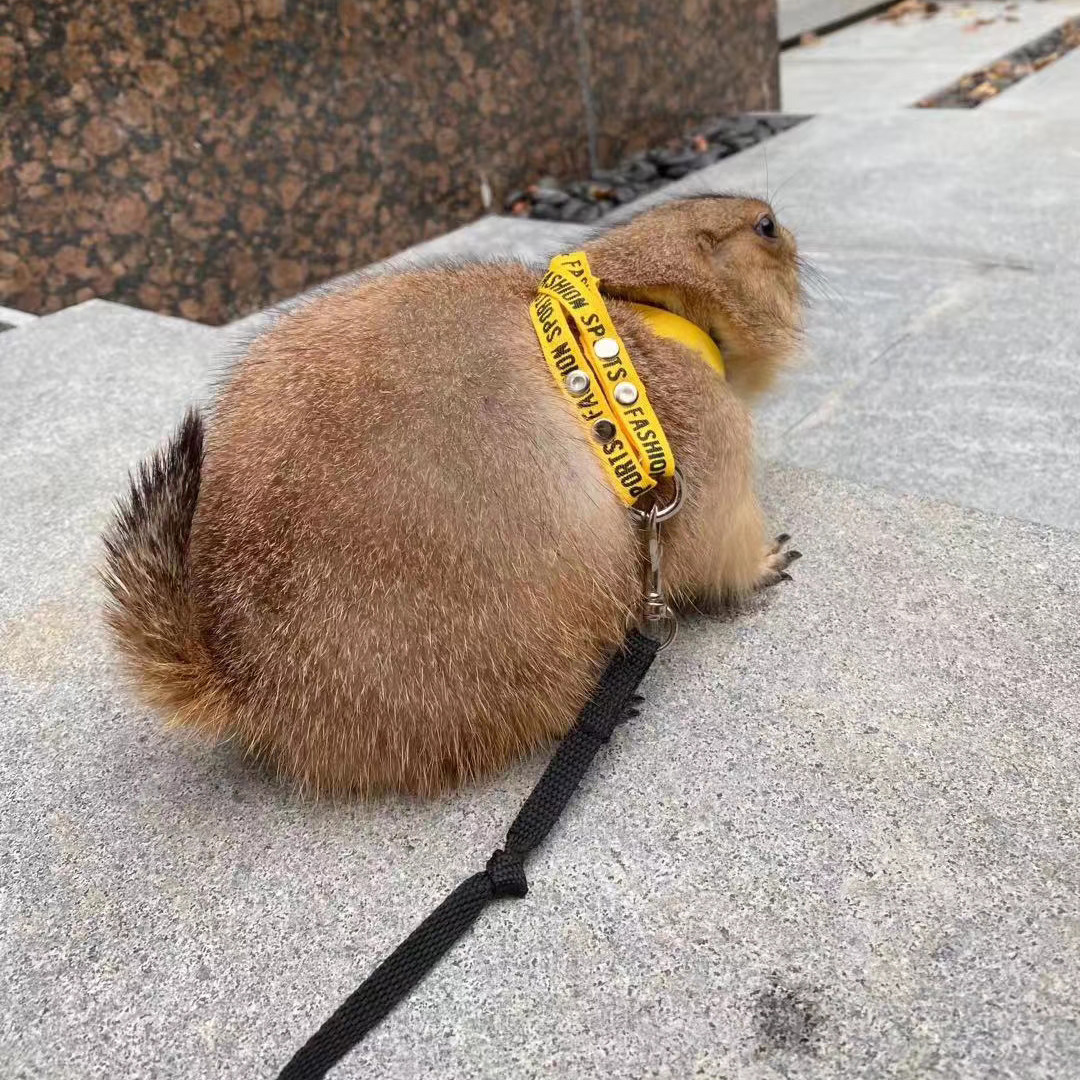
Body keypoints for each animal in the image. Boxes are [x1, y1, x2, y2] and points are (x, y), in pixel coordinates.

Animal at [102, 195, 804, 798]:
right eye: (767, 226)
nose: (791, 234)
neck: (638, 306)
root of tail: (239, 673)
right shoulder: (709, 420)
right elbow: (716, 531)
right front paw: (768, 559)